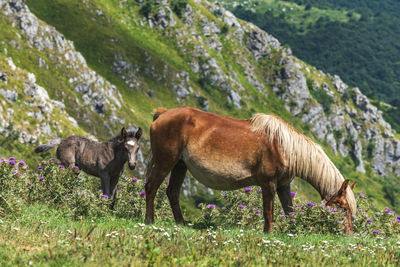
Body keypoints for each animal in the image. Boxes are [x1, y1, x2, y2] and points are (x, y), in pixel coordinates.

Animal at [144, 107, 356, 232]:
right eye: (343, 208)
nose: (349, 233)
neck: (284, 147)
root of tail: (163, 113)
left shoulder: (283, 186)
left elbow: (289, 211)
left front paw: (293, 232)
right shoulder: (268, 184)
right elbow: (268, 212)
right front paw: (268, 234)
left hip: (180, 166)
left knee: (172, 192)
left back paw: (181, 224)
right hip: (165, 162)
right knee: (151, 188)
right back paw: (149, 221)